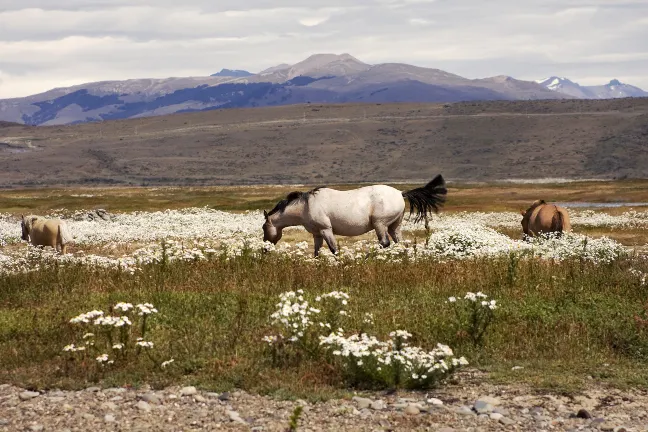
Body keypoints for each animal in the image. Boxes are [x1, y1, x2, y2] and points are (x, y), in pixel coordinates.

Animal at [260, 176, 448, 256]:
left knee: (384, 243)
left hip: (380, 225)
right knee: (400, 243)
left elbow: (334, 249)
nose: (265, 249)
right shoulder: (317, 234)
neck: (306, 206)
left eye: (263, 227)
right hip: (394, 227)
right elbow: (316, 252)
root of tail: (401, 193)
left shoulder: (326, 230)